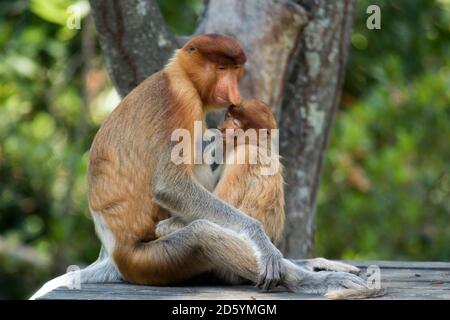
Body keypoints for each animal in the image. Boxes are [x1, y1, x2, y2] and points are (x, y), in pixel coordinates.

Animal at [31, 33, 384, 298]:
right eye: (221, 67)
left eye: (236, 69)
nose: (233, 93)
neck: (179, 75)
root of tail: (112, 251)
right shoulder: (181, 101)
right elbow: (170, 186)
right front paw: (261, 242)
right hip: (148, 262)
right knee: (202, 233)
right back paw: (311, 280)